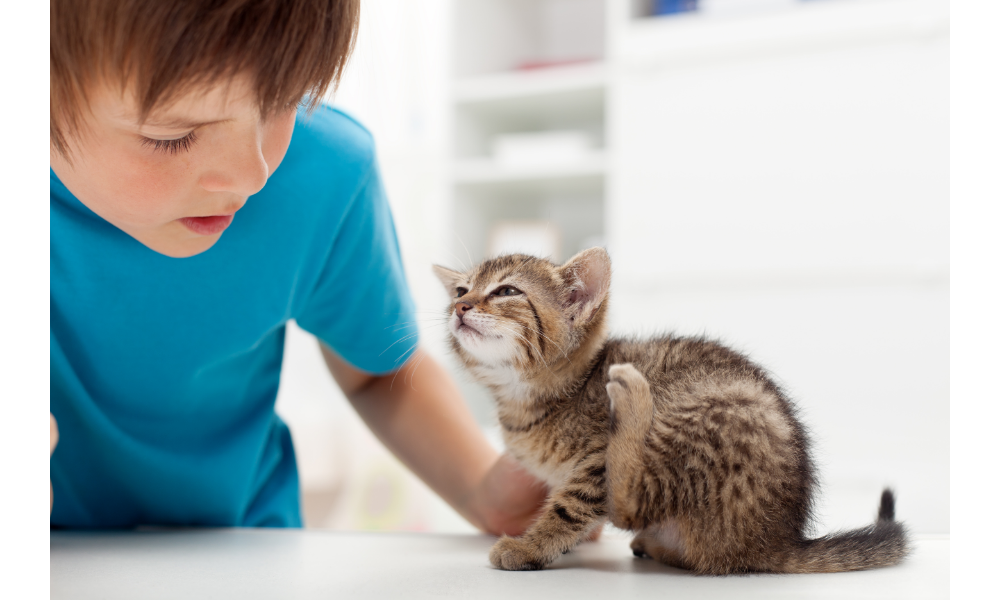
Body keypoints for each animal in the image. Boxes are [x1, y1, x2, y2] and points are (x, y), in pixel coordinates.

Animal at [434, 247, 912, 572]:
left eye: (507, 291)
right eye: (461, 290)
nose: (460, 306)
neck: (527, 397)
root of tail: (777, 539)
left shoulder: (593, 464)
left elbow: (572, 508)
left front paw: (530, 547)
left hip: (707, 408)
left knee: (630, 504)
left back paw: (633, 397)